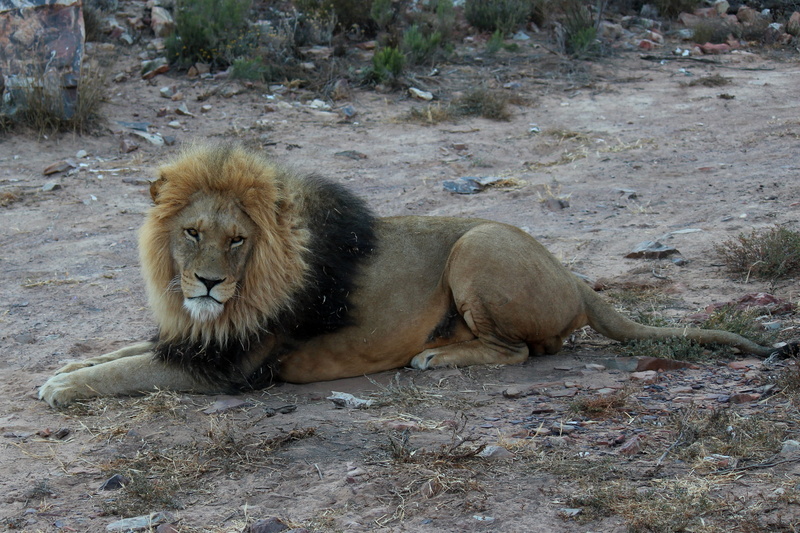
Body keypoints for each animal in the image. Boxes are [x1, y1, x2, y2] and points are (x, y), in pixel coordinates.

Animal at [38, 144, 789, 407]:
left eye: (238, 240)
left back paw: (436, 357)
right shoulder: (198, 337)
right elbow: (127, 351)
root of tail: (574, 276)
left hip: (477, 244)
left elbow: (129, 370)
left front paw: (63, 387)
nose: (207, 284)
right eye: (192, 232)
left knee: (523, 352)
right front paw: (64, 369)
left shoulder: (231, 367)